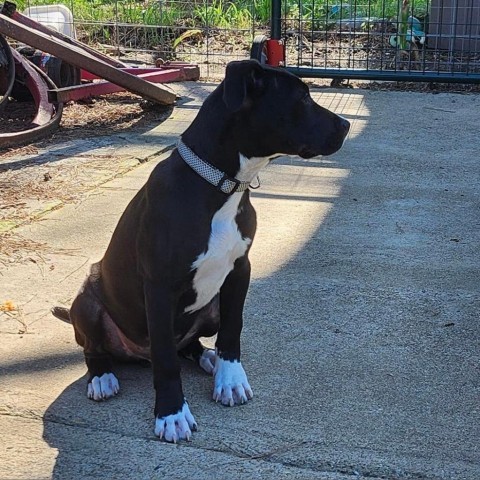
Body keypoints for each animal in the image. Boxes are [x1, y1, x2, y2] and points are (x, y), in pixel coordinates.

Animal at [52, 59, 350, 442]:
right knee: (97, 347)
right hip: (87, 300)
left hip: (211, 306)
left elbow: (233, 329)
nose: (346, 125)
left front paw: (230, 377)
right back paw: (102, 376)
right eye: (302, 98)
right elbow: (166, 359)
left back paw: (206, 357)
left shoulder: (240, 269)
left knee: (187, 344)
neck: (220, 185)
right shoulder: (159, 287)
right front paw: (171, 413)